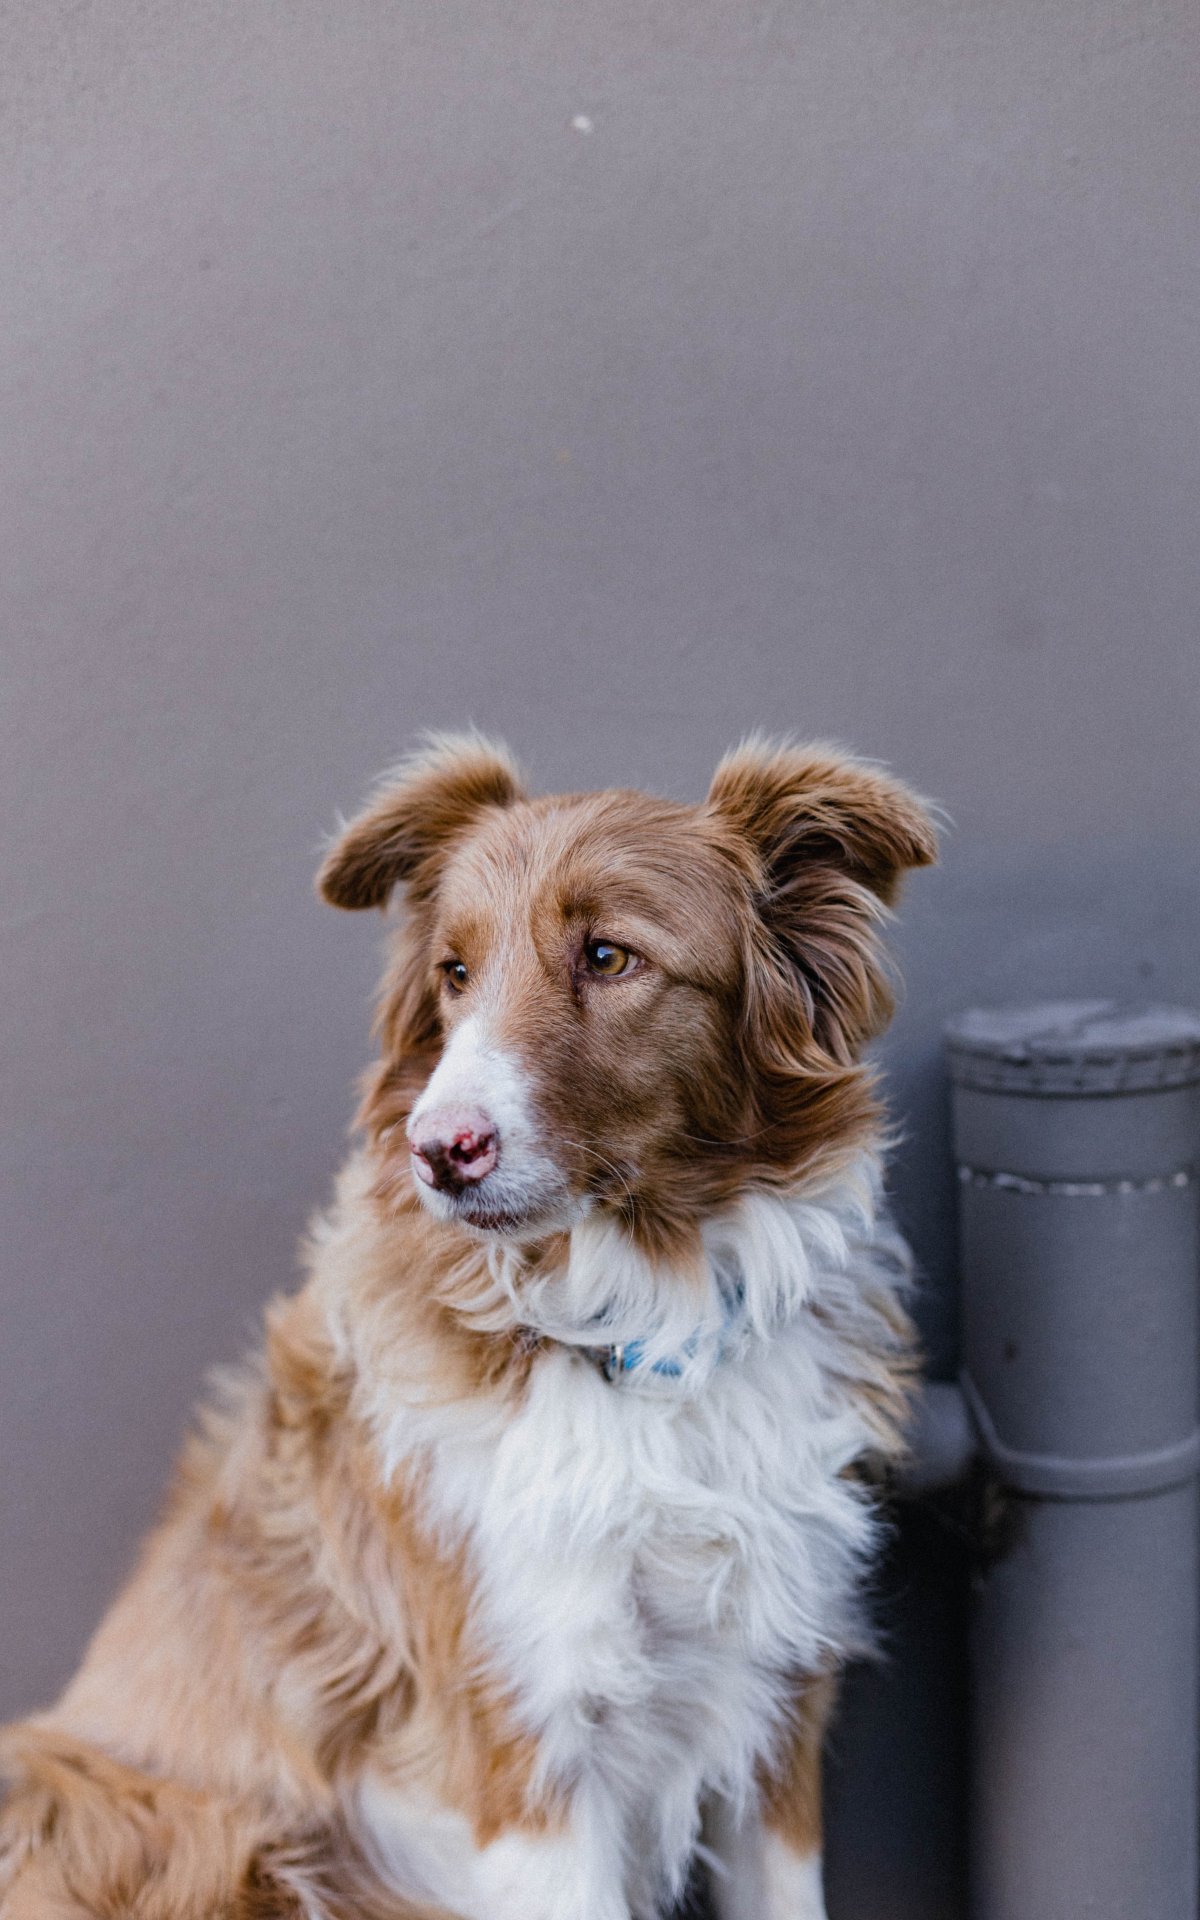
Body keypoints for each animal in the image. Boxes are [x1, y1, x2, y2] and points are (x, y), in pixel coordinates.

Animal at [0, 734, 937, 1920]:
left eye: (609, 956)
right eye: (455, 973)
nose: (437, 1150)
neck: (638, 1331)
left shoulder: (774, 1710)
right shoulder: (526, 1745)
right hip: (189, 1828)